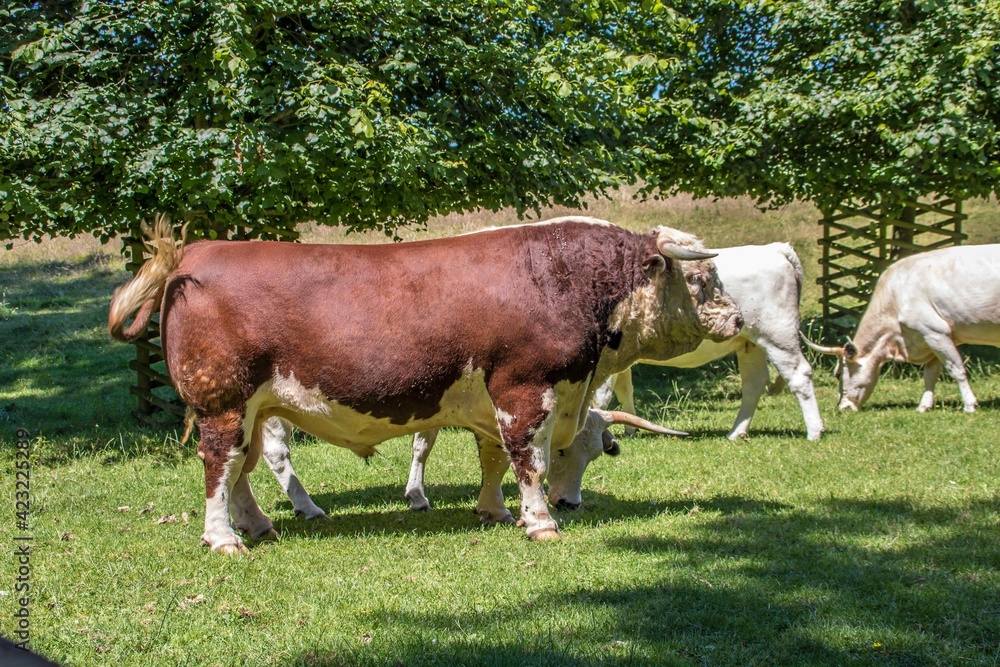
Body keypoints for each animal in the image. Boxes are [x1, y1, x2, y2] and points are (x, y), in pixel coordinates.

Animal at [109, 215, 740, 552]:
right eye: (703, 280)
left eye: (596, 451)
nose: (736, 319)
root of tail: (193, 251)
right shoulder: (525, 389)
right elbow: (527, 458)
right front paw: (541, 521)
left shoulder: (492, 400)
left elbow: (493, 457)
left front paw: (495, 511)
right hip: (223, 400)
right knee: (220, 464)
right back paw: (224, 539)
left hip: (254, 407)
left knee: (241, 466)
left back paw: (257, 524)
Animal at [600, 243, 820, 440]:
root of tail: (776, 248)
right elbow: (624, 389)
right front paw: (629, 430)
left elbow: (603, 395)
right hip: (751, 343)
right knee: (754, 382)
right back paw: (736, 433)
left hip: (779, 335)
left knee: (799, 375)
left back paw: (814, 432)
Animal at [800, 245, 1000, 412]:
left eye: (838, 374)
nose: (843, 408)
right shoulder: (928, 339)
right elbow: (930, 374)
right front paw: (924, 406)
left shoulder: (935, 332)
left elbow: (956, 369)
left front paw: (970, 405)